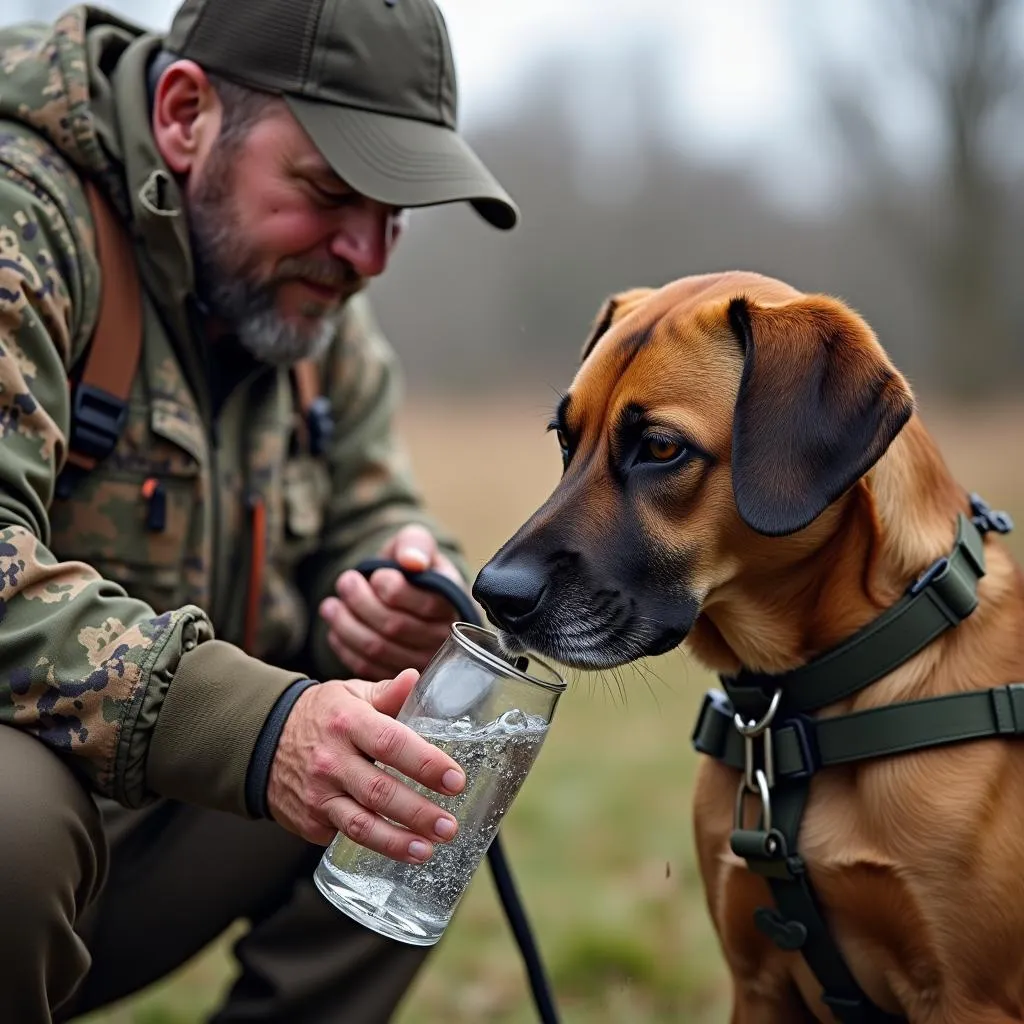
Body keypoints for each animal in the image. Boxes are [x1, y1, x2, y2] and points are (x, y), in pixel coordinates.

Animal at [475, 272, 1024, 1024]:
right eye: (565, 438)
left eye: (662, 448)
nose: (492, 594)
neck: (799, 709)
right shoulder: (757, 981)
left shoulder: (970, 998)